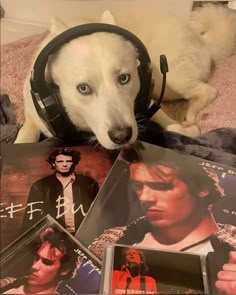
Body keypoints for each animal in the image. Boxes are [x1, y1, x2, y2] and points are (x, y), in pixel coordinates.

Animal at [15, 3, 236, 149]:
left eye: (124, 78)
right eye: (83, 88)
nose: (122, 136)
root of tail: (201, 40)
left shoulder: (145, 97)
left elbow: (168, 123)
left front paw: (185, 129)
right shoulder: (33, 117)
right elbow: (24, 136)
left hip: (169, 79)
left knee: (209, 90)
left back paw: (189, 112)